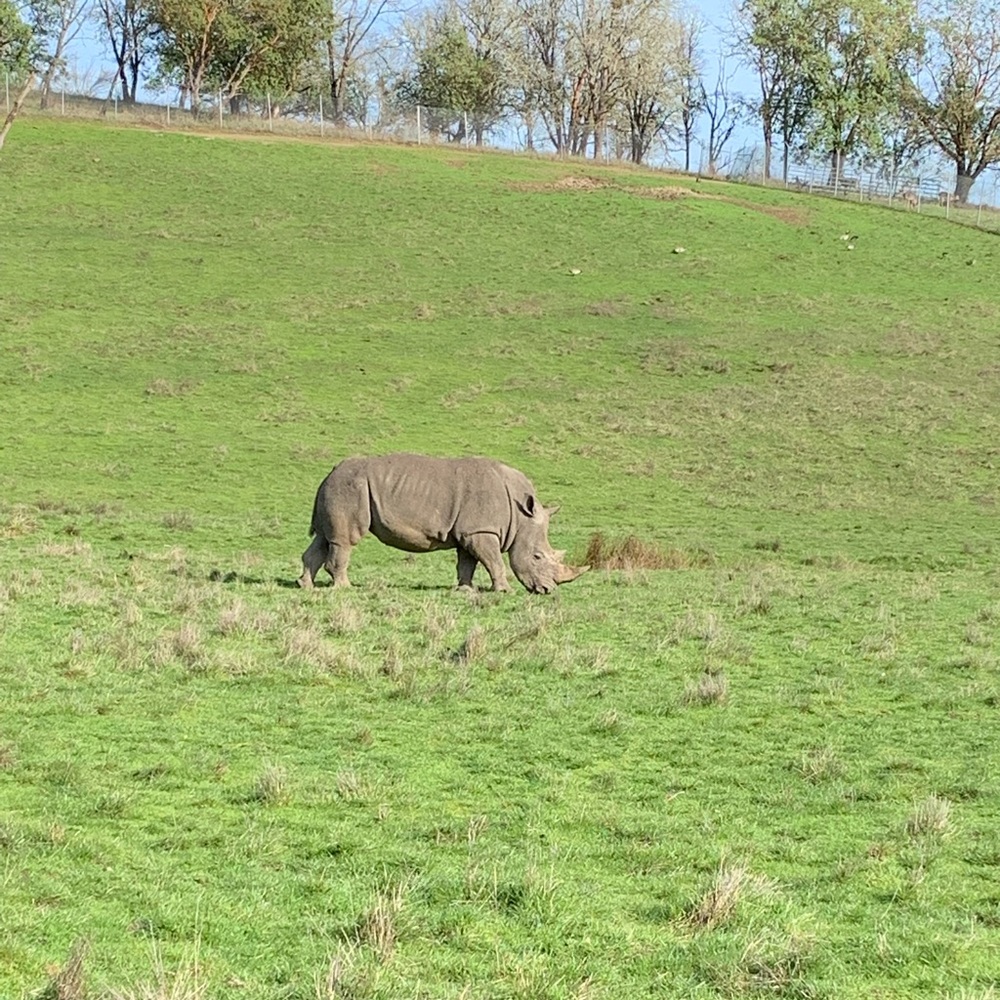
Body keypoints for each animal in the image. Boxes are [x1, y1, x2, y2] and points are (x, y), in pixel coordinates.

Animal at [298, 453, 589, 594]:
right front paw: (504, 591)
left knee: (323, 538)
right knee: (344, 540)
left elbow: (467, 563)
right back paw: (345, 588)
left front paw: (465, 590)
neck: (520, 517)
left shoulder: (470, 531)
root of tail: (330, 472)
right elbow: (494, 560)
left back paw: (305, 586)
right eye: (537, 557)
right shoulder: (481, 530)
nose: (547, 591)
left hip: (338, 488)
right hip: (349, 488)